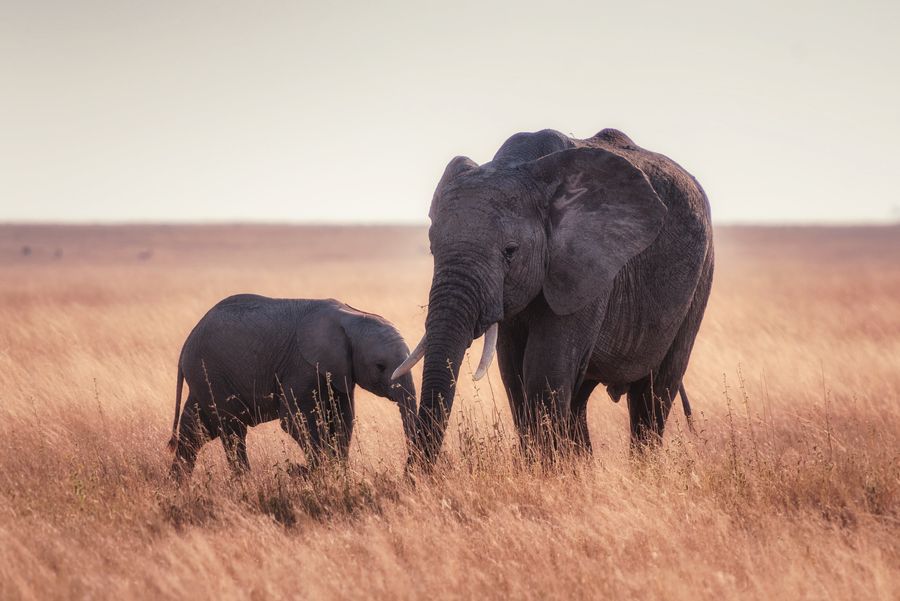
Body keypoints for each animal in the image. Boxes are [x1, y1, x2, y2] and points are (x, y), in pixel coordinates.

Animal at [167, 294, 417, 479]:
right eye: (380, 366)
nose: (408, 472)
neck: (351, 316)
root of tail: (187, 342)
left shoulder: (340, 372)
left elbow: (343, 419)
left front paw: (337, 474)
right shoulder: (301, 366)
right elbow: (296, 420)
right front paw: (319, 474)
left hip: (205, 378)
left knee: (196, 430)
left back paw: (178, 485)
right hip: (210, 373)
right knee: (232, 430)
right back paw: (245, 483)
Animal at [393, 128, 713, 462]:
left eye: (510, 251)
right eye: (432, 249)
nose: (415, 473)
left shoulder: (587, 266)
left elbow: (544, 371)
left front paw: (546, 470)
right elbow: (514, 374)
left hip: (701, 276)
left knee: (654, 393)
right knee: (579, 398)